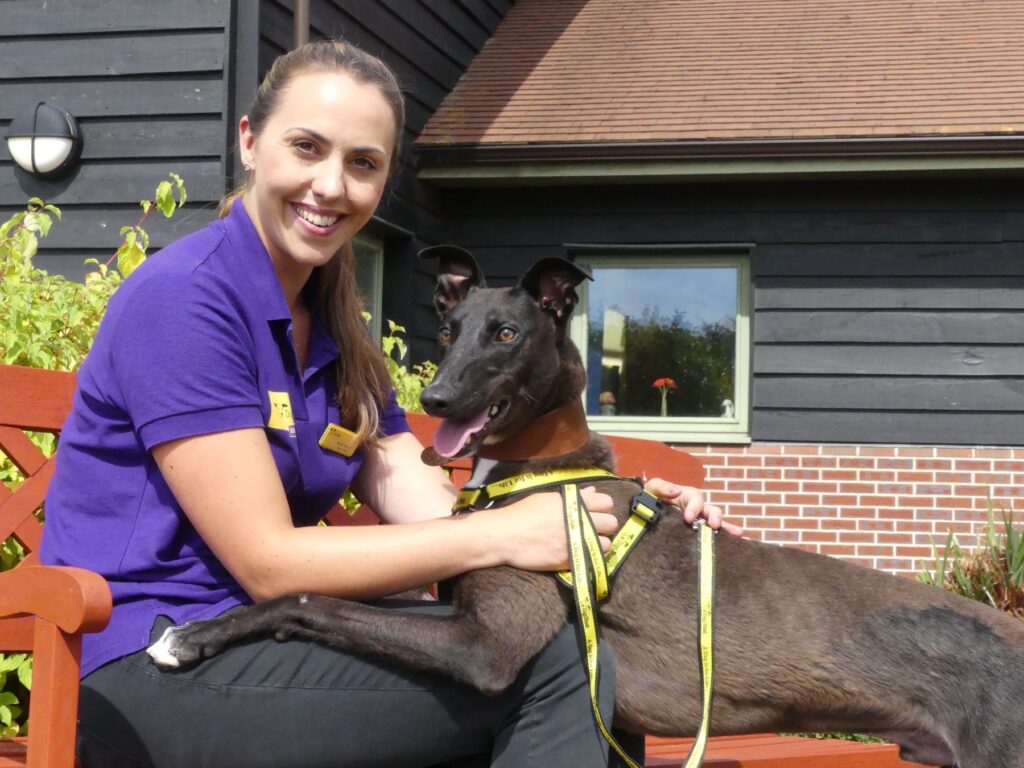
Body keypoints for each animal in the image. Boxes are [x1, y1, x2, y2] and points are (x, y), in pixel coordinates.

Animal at [149, 249, 1024, 765]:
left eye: (505, 333)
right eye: (449, 327)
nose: (432, 399)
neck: (537, 471)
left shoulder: (487, 648)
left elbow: (310, 598)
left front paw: (192, 636)